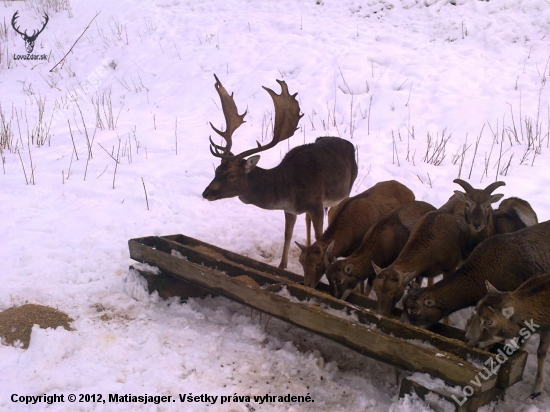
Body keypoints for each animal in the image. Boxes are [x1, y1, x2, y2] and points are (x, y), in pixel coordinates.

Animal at [203, 76, 358, 270]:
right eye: (217, 170)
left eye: (231, 175)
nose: (206, 192)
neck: (290, 188)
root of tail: (348, 143)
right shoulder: (290, 209)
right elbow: (287, 234)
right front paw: (282, 266)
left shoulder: (316, 205)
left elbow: (320, 237)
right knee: (306, 219)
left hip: (346, 190)